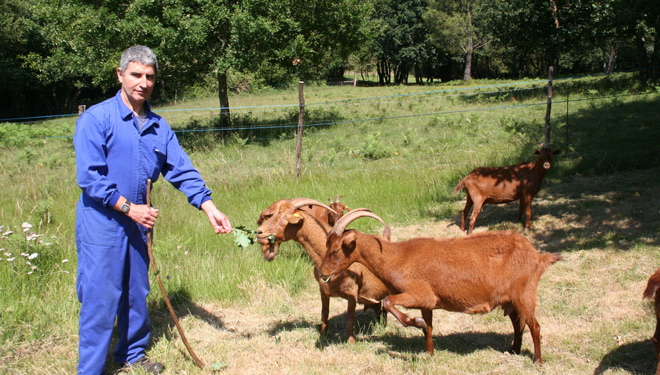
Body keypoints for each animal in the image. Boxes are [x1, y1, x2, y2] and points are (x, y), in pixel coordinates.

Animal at [254, 200, 390, 344]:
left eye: (285, 216)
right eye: (272, 214)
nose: (259, 232)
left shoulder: (352, 293)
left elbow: (350, 318)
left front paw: (351, 341)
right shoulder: (323, 291)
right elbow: (324, 314)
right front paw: (323, 335)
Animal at [318, 209, 560, 364]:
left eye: (336, 250)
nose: (322, 273)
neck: (397, 258)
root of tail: (537, 256)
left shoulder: (419, 293)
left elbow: (388, 302)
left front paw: (414, 322)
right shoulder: (429, 302)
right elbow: (429, 326)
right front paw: (430, 352)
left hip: (524, 295)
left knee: (535, 326)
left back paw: (537, 362)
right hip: (510, 299)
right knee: (519, 324)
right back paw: (513, 351)